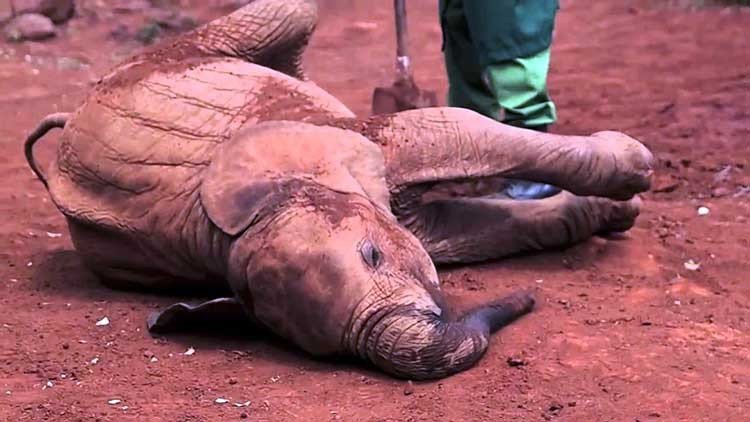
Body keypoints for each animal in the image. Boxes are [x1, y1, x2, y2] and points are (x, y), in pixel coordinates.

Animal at [24, 0, 653, 380]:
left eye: (371, 256)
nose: (528, 301)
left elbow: (445, 128)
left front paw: (637, 169)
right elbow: (458, 231)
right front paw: (616, 210)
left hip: (174, 54)